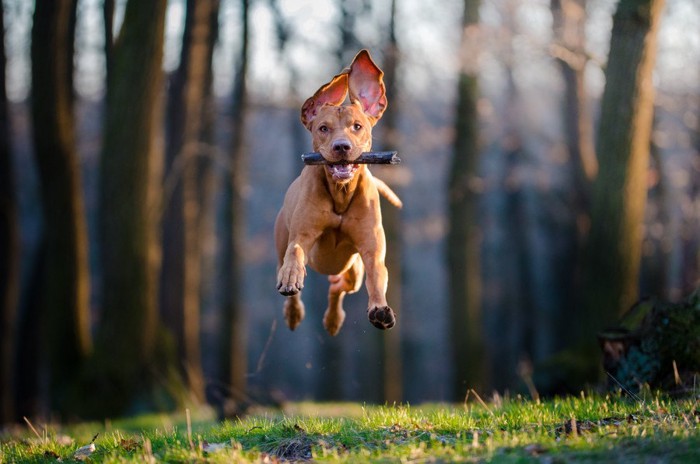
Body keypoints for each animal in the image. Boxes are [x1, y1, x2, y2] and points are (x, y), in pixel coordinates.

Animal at [274, 49, 402, 336]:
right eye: (323, 128)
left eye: (357, 126)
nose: (342, 146)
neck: (341, 194)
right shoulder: (301, 234)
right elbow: (295, 252)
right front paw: (291, 278)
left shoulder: (371, 249)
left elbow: (377, 275)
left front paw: (380, 309)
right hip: (282, 243)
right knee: (290, 268)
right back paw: (293, 311)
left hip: (352, 269)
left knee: (339, 286)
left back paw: (333, 318)